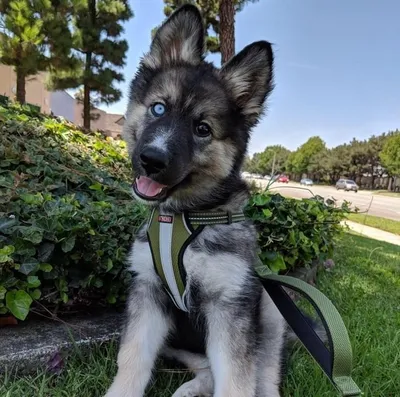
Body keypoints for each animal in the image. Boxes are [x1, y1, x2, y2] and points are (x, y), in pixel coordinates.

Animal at [105, 3, 288, 396]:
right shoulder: (147, 293)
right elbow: (132, 358)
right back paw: (190, 388)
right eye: (158, 109)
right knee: (205, 367)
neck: (184, 218)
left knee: (264, 371)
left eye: (202, 129)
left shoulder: (230, 304)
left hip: (270, 307)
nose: (152, 160)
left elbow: (237, 378)